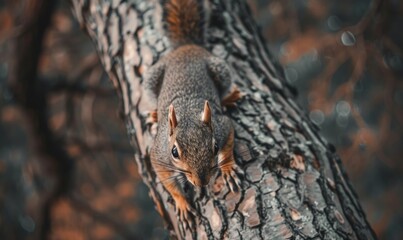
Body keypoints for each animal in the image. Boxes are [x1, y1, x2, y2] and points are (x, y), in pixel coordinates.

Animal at [144, 0, 243, 227]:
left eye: (214, 147)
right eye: (174, 152)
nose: (202, 182)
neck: (188, 113)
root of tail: (185, 46)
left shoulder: (222, 126)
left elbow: (228, 146)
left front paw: (228, 168)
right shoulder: (158, 156)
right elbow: (169, 183)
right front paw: (182, 203)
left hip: (220, 70)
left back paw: (230, 97)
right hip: (151, 79)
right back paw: (154, 114)